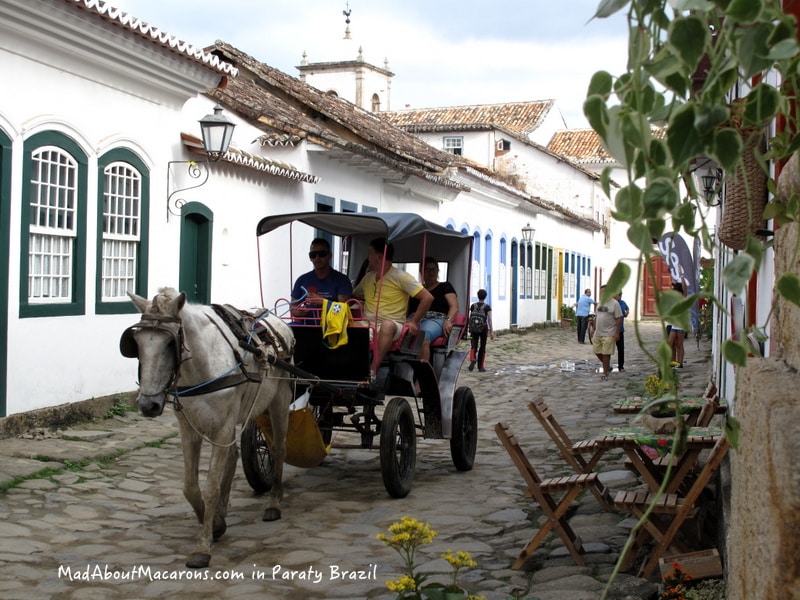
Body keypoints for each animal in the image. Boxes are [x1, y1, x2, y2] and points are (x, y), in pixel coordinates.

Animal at [119, 288, 294, 568]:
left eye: (170, 344)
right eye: (136, 343)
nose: (148, 405)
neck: (200, 369)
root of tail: (277, 322)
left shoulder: (222, 427)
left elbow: (211, 486)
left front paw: (203, 547)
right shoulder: (188, 429)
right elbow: (190, 486)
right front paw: (215, 524)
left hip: (278, 400)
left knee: (278, 449)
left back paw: (274, 503)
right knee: (234, 455)